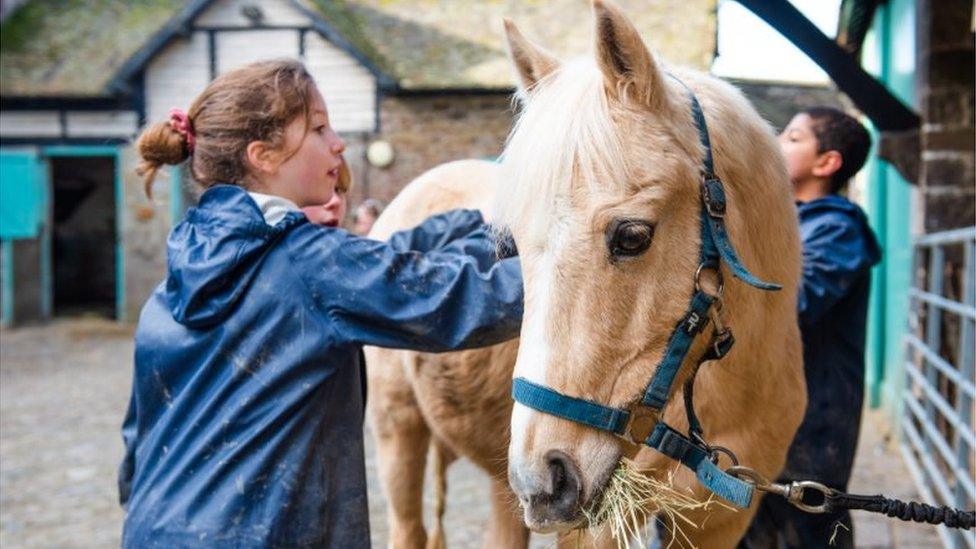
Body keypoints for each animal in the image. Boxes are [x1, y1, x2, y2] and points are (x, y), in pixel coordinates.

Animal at [362, 2, 804, 544]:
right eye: (510, 248)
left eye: (632, 236)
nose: (545, 479)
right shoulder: (597, 529)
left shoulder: (720, 524)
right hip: (400, 433)